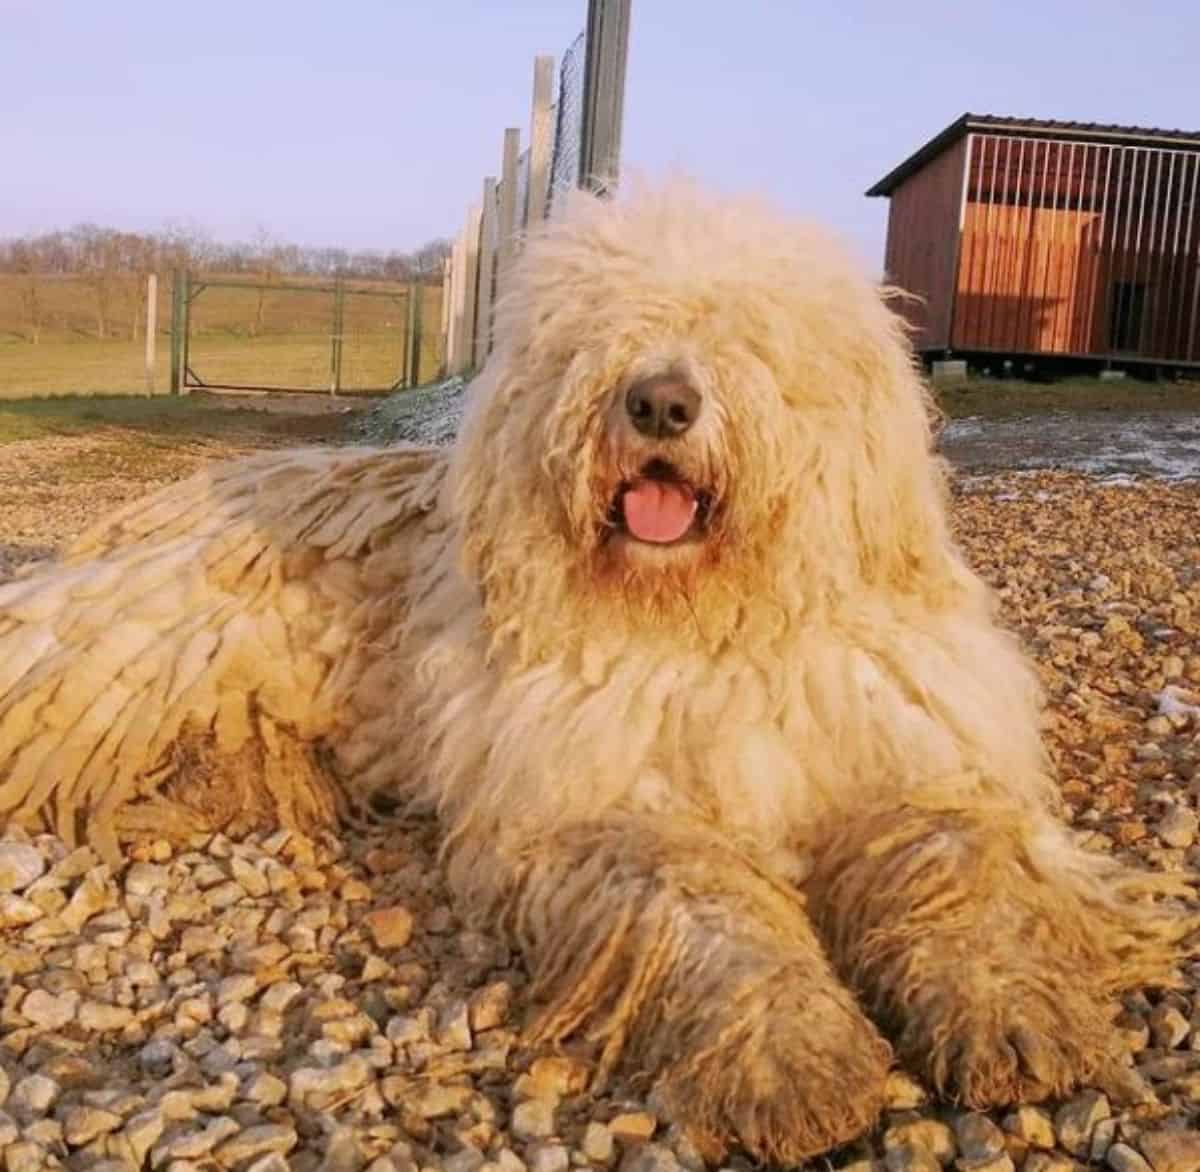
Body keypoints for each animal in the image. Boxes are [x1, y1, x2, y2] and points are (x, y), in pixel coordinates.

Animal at [0, 182, 1190, 1161]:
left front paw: (1013, 1014)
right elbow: (707, 912)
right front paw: (796, 1060)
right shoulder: (603, 804)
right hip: (142, 653)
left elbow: (961, 871)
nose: (660, 402)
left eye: (747, 334)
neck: (713, 629)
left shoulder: (911, 758)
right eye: (597, 338)